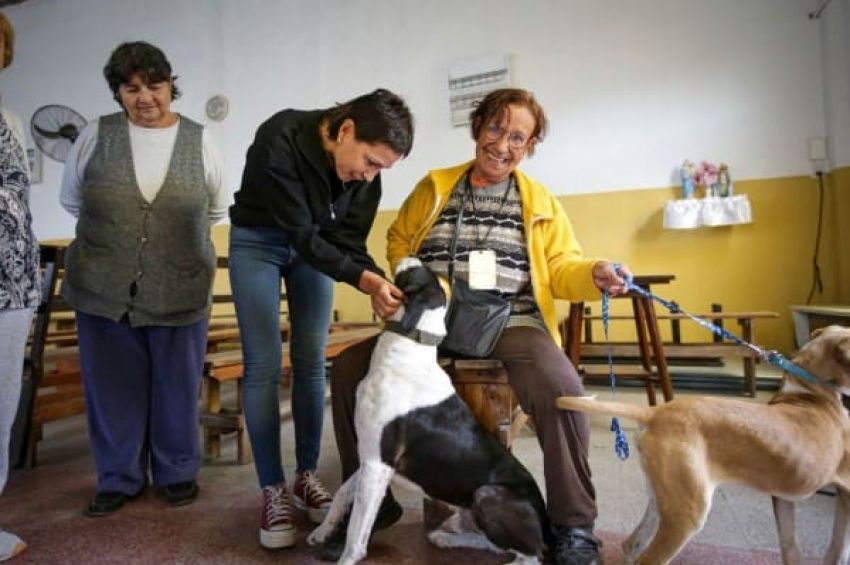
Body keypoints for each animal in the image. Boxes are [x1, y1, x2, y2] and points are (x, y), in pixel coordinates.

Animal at [308, 258, 548, 560]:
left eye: (415, 272)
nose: (412, 256)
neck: (408, 345)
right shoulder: (370, 455)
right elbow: (341, 494)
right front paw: (322, 531)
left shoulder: (377, 464)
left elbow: (356, 534)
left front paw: (346, 556)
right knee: (493, 544)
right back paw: (444, 538)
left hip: (487, 494)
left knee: (529, 555)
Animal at [552, 324, 848, 560]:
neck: (810, 392)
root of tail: (656, 411)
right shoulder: (846, 490)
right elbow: (838, 545)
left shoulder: (784, 499)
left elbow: (790, 545)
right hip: (688, 512)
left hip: (663, 497)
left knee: (631, 544)